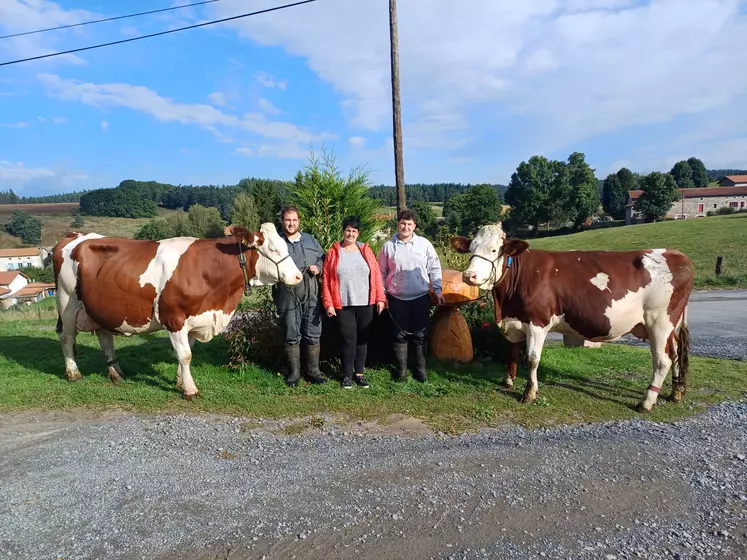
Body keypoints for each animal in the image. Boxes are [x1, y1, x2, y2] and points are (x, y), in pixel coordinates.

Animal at [51, 222, 304, 398]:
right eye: (273, 248)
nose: (299, 276)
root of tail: (75, 236)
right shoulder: (174, 318)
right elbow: (185, 355)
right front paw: (190, 390)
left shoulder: (195, 319)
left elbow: (186, 353)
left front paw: (181, 382)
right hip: (66, 301)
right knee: (67, 337)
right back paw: (74, 374)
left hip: (100, 308)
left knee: (105, 338)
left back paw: (116, 373)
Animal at [450, 222, 696, 412]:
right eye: (471, 248)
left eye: (494, 250)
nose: (469, 275)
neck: (506, 304)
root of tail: (677, 255)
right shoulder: (516, 321)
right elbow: (512, 351)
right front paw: (508, 380)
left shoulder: (537, 322)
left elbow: (531, 358)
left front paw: (529, 393)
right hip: (669, 327)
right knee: (675, 354)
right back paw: (675, 392)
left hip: (659, 323)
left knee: (662, 361)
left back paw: (646, 402)